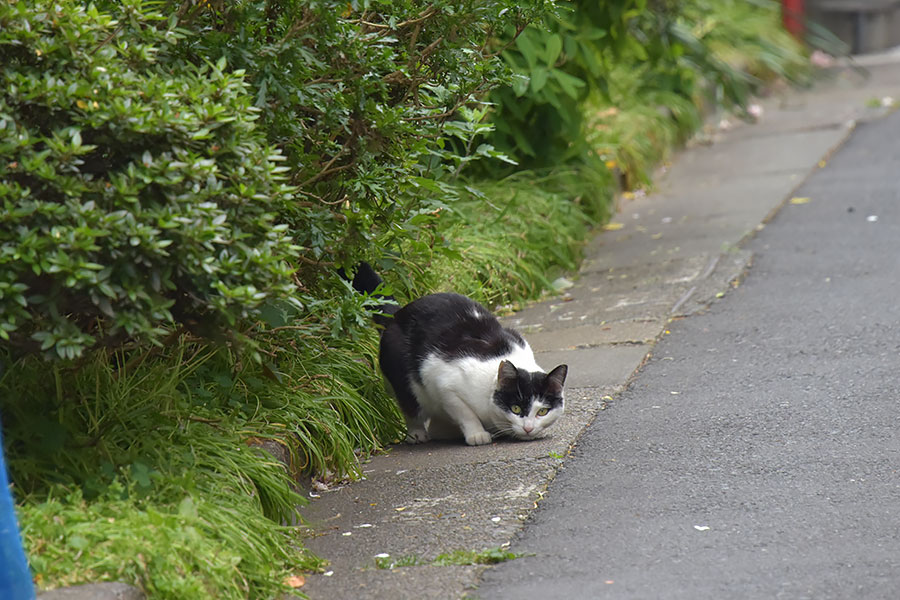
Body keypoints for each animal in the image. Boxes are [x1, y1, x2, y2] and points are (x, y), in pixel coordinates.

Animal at [352, 264, 568, 446]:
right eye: (516, 408)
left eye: (542, 411)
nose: (528, 428)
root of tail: (396, 314)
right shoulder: (443, 382)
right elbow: (465, 413)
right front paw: (477, 434)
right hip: (403, 377)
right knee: (410, 406)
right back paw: (417, 434)